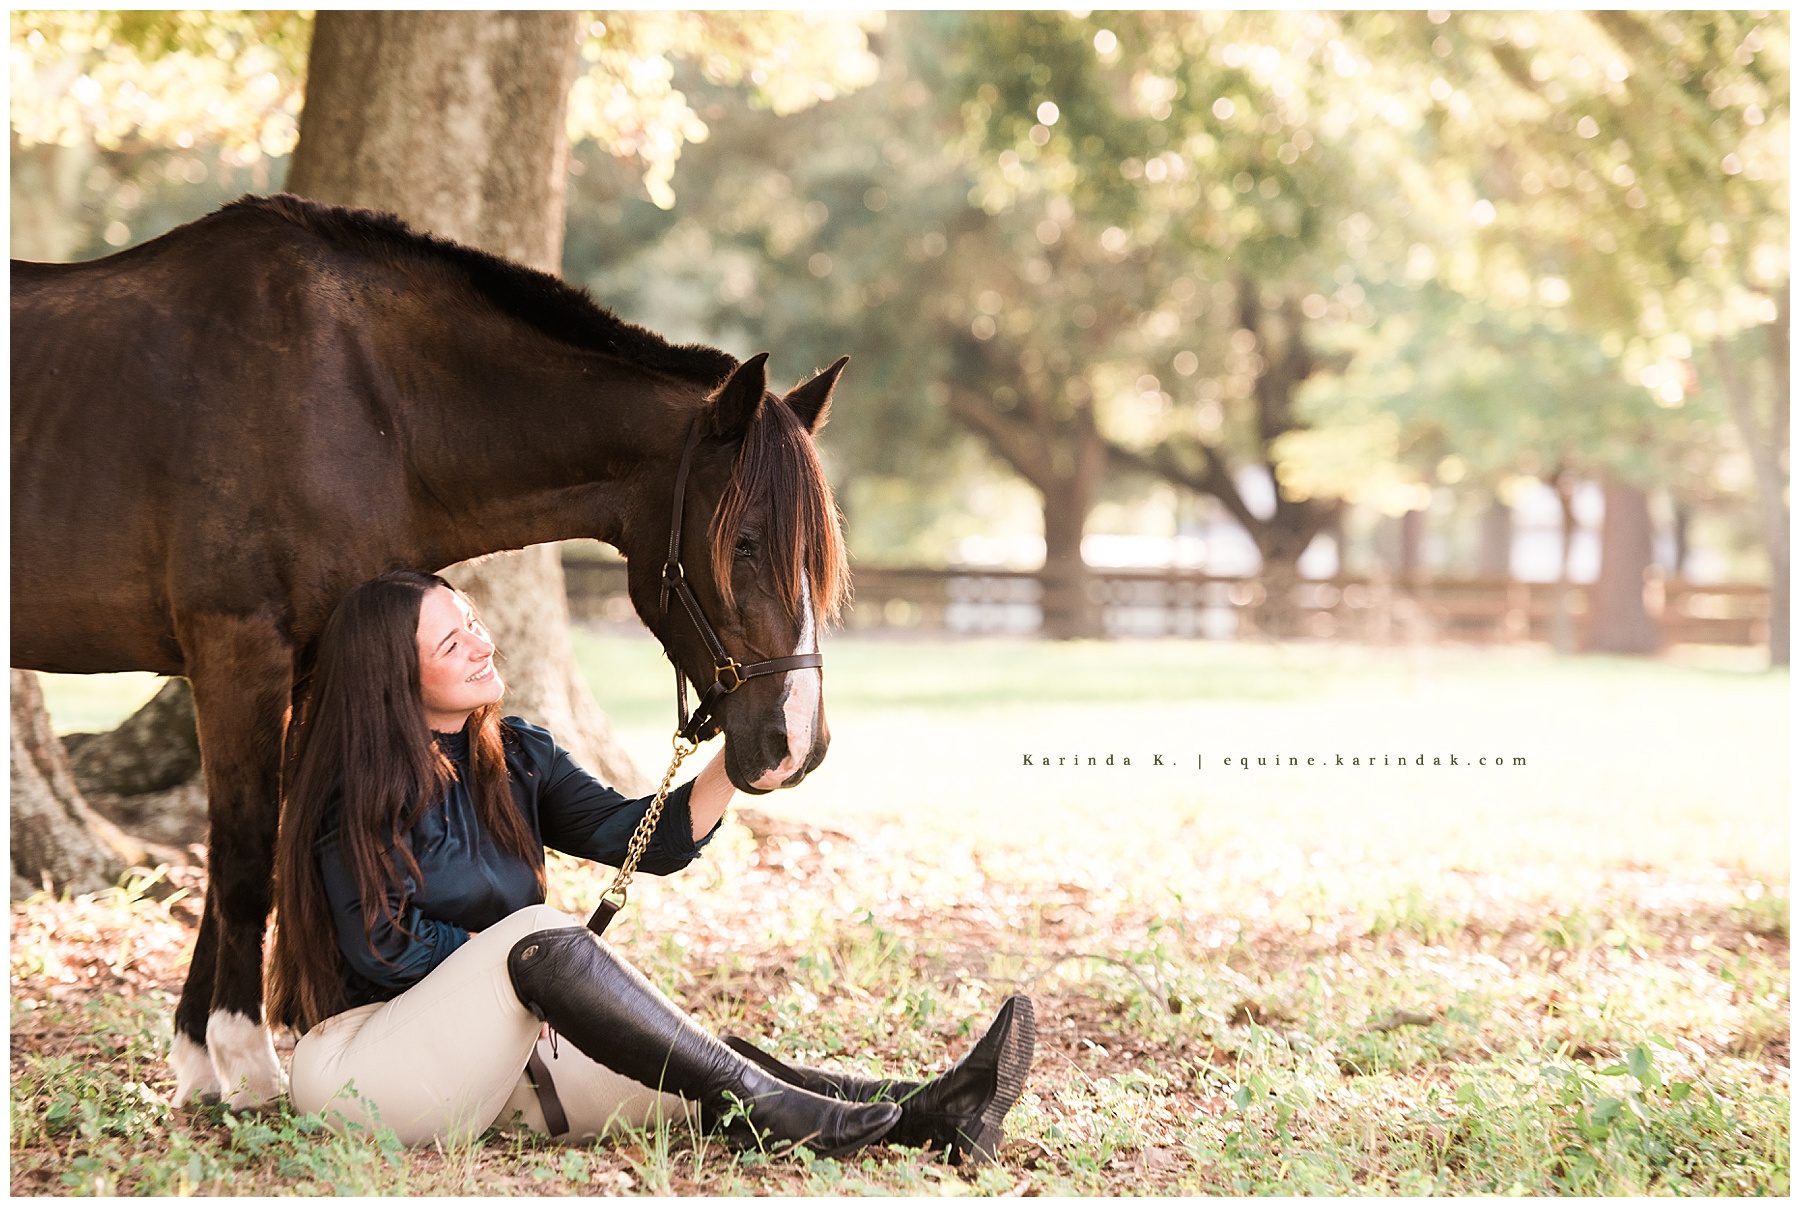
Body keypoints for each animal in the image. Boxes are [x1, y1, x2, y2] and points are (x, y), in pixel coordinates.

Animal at [11, 193, 851, 1109]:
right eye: (744, 542)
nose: (795, 746)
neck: (359, 397)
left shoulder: (315, 660)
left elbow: (264, 838)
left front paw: (199, 1058)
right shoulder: (237, 648)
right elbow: (241, 854)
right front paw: (245, 1061)